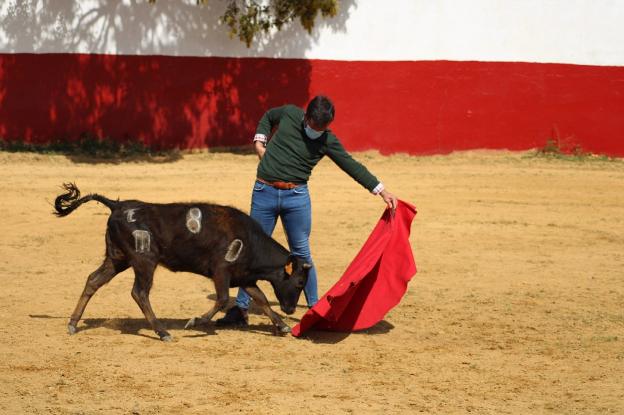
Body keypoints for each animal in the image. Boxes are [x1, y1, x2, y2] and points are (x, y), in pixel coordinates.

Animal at [52, 184, 310, 340]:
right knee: (139, 293)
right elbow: (222, 299)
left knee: (93, 280)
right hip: (144, 261)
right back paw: (162, 331)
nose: (290, 309)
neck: (249, 240)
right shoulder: (221, 271)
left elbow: (262, 299)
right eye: (299, 283)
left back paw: (73, 323)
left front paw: (282, 325)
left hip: (117, 258)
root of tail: (118, 205)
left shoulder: (244, 277)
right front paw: (195, 322)